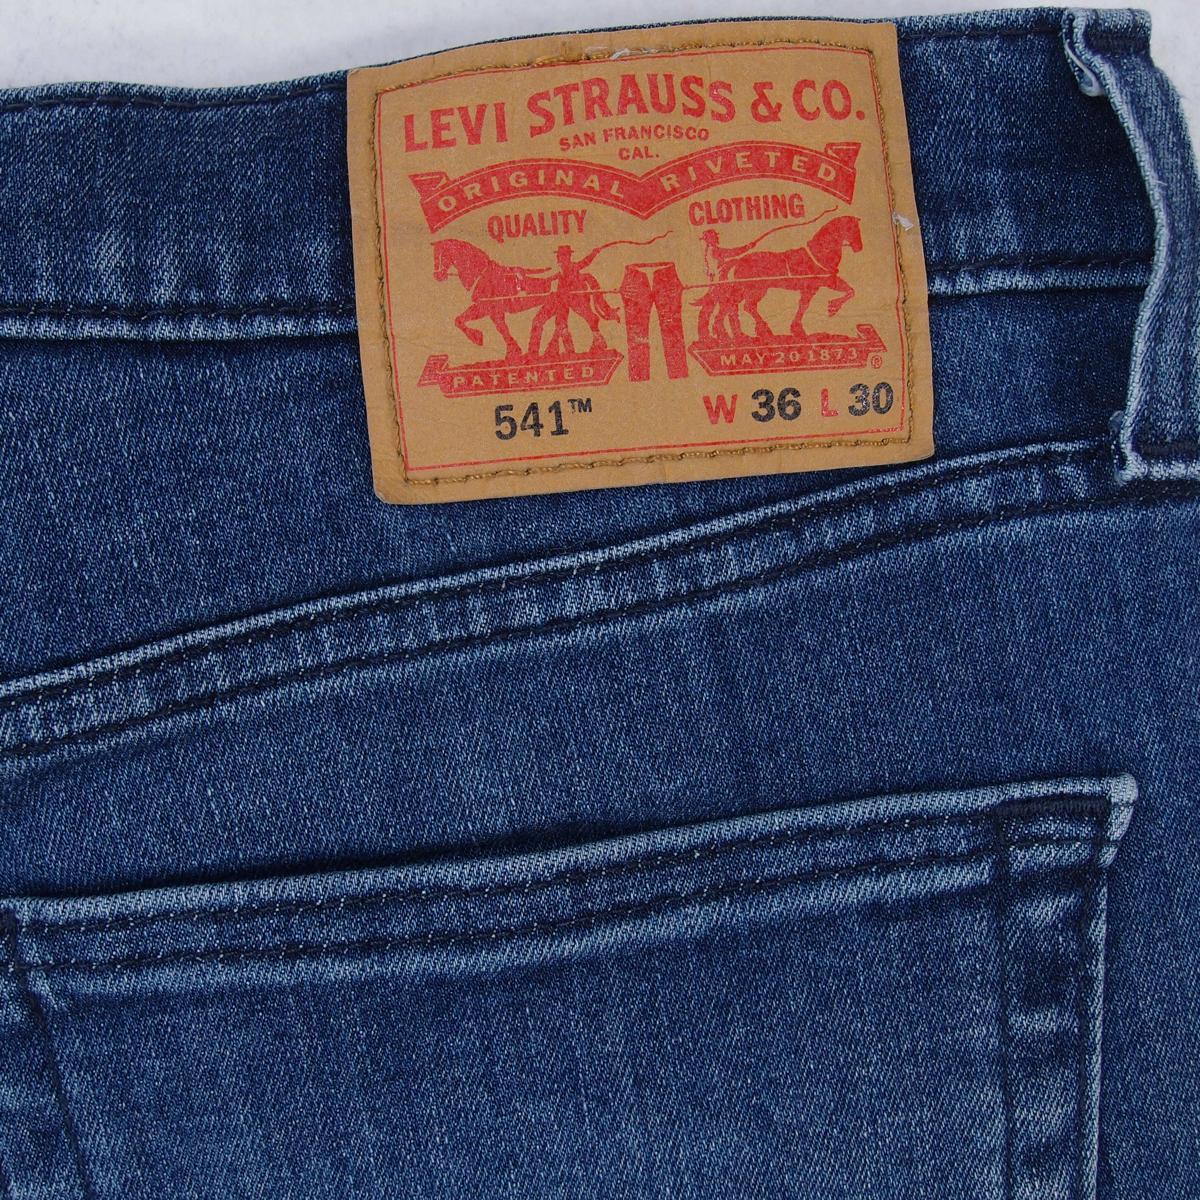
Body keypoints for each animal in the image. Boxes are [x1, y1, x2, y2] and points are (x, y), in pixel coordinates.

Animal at [695, 216, 864, 344]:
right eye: (852, 229)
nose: (859, 248)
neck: (819, 253)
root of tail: (738, 261)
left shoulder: (819, 285)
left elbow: (848, 291)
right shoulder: (816, 286)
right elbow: (807, 305)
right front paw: (831, 308)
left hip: (748, 289)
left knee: (733, 306)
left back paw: (731, 335)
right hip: (755, 289)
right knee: (742, 306)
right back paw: (756, 332)